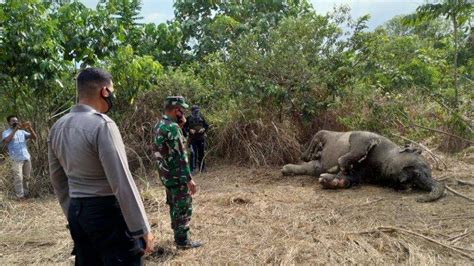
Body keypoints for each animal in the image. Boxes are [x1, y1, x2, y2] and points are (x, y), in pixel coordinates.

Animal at [284, 130, 446, 202]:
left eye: (414, 183)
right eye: (416, 171)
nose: (404, 182)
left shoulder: (363, 174)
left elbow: (351, 177)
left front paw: (333, 180)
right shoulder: (363, 137)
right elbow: (354, 152)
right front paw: (338, 168)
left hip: (315, 163)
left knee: (311, 166)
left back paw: (288, 168)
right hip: (325, 134)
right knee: (315, 139)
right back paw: (308, 155)